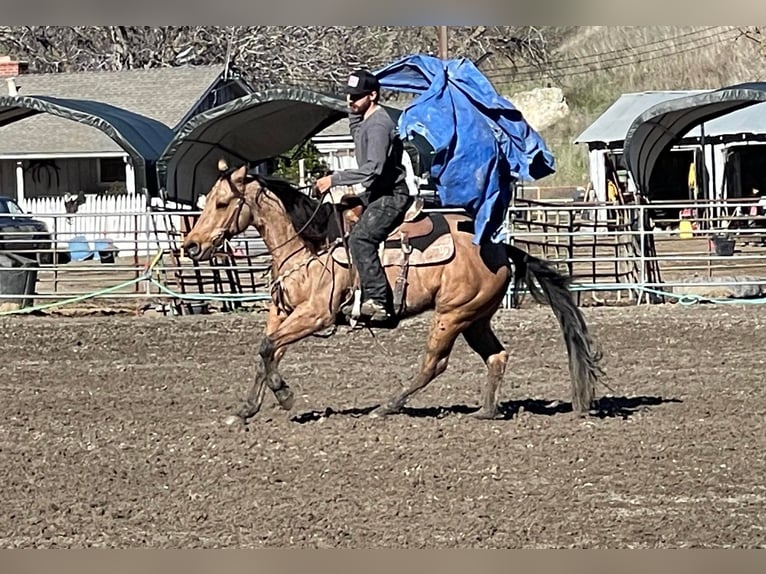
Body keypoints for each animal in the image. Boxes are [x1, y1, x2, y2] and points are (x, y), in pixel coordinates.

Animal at [183, 160, 604, 426]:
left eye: (222, 203)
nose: (191, 246)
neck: (309, 246)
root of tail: (500, 248)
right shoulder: (284, 313)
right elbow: (266, 352)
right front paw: (245, 410)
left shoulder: (316, 314)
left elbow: (268, 348)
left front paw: (285, 397)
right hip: (474, 319)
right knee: (496, 357)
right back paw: (485, 411)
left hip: (450, 316)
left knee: (433, 364)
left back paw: (388, 406)